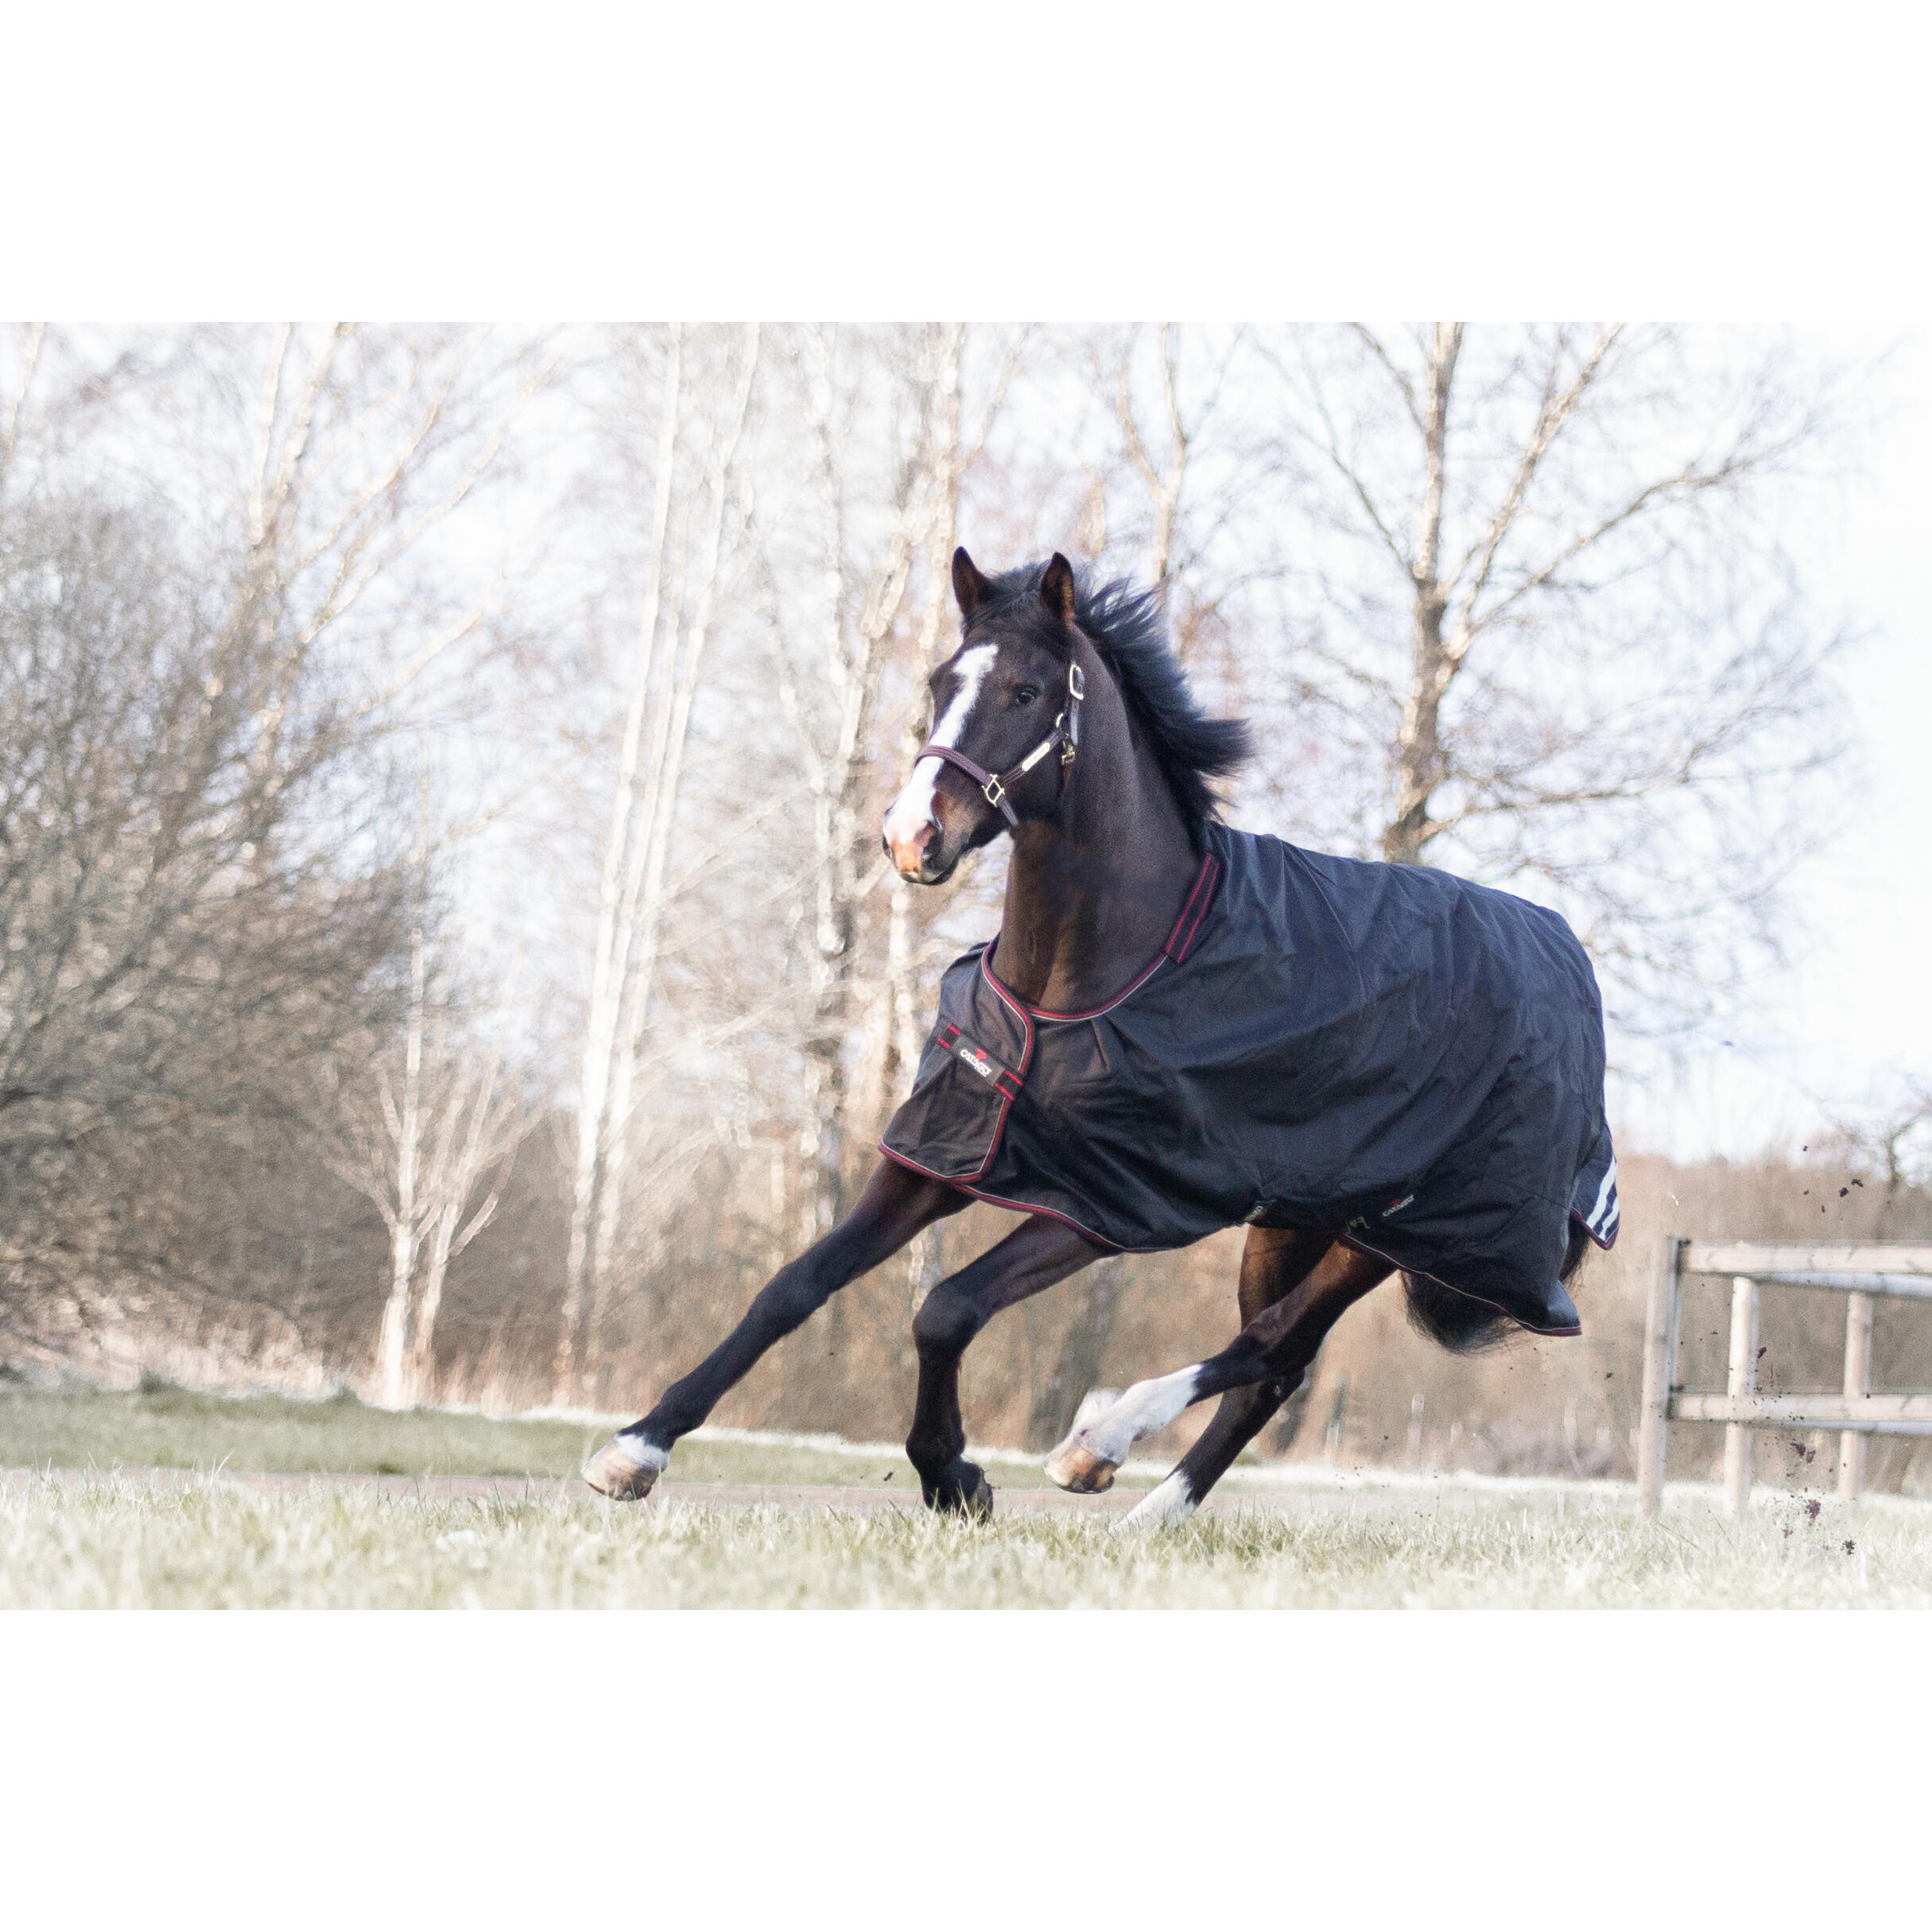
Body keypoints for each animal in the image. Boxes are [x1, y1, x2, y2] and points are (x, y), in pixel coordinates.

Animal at [583, 547, 1617, 1525]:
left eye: (1027, 691)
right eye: (942, 682)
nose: (912, 837)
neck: (1085, 984)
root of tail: (1566, 962)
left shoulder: (1101, 1206)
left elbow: (946, 1310)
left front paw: (954, 1478)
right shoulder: (937, 1156)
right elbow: (794, 1286)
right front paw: (635, 1449)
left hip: (1392, 1237)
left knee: (1269, 1344)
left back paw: (1102, 1440)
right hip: (1292, 1225)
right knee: (1278, 1366)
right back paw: (1146, 1512)